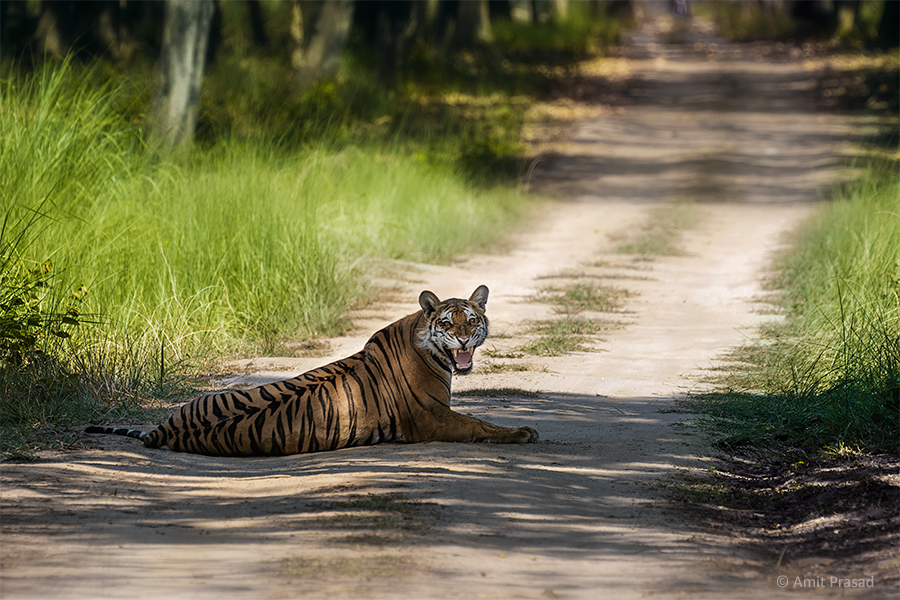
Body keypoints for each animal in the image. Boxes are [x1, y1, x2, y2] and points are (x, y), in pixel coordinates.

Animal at [84, 284, 536, 454]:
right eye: (448, 323)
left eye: (472, 321)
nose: (463, 340)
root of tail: (163, 430)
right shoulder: (433, 418)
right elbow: (480, 424)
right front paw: (523, 432)